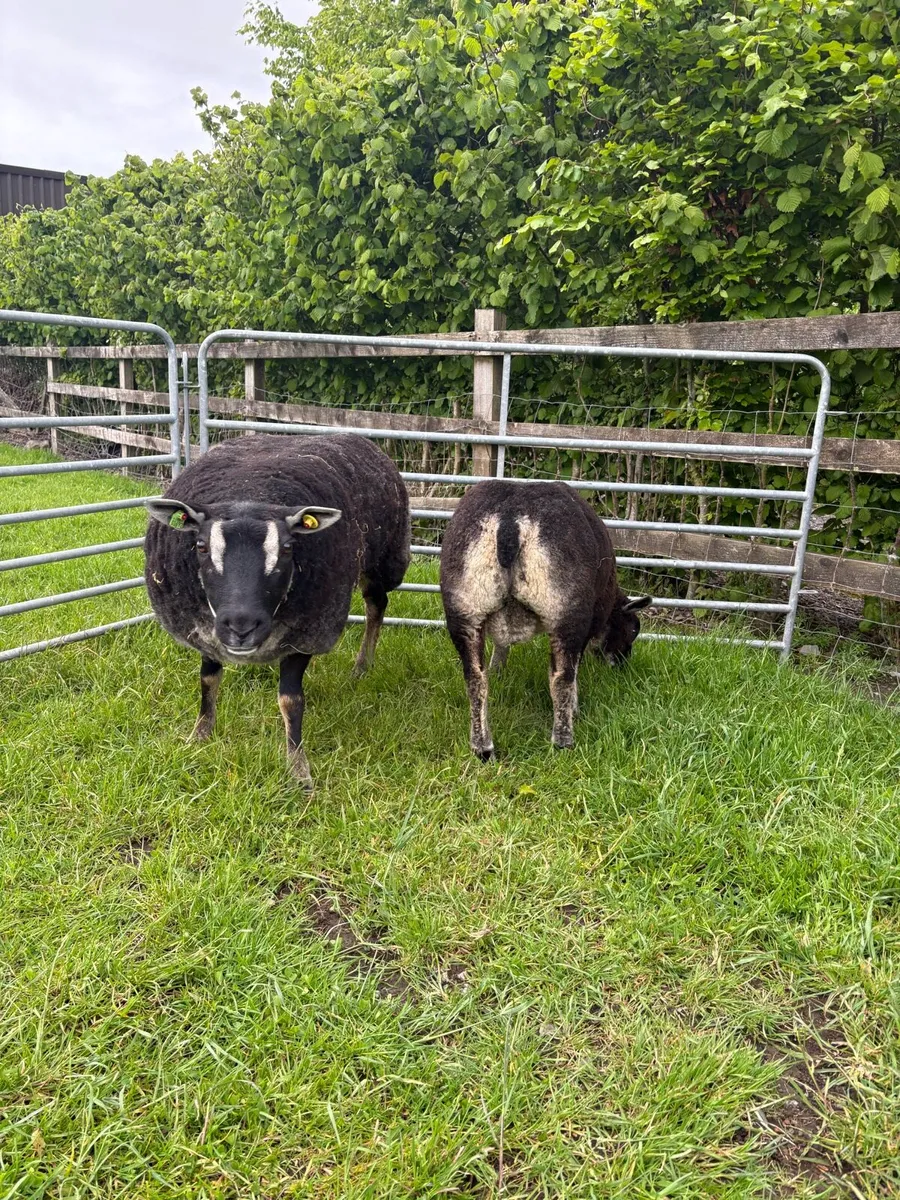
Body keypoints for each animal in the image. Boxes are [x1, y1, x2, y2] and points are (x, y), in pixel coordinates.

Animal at [144, 433, 410, 788]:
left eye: (286, 549)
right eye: (200, 546)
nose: (241, 626)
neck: (250, 493)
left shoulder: (307, 630)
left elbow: (290, 701)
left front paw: (298, 769)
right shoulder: (204, 629)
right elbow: (208, 680)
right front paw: (199, 735)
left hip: (380, 559)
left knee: (376, 605)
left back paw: (362, 666)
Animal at [439, 480, 650, 759]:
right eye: (633, 629)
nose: (623, 664)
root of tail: (509, 521)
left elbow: (500, 648)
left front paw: (498, 671)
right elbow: (574, 669)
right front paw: (575, 708)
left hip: (465, 609)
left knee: (475, 679)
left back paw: (483, 748)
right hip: (566, 611)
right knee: (561, 678)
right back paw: (563, 741)